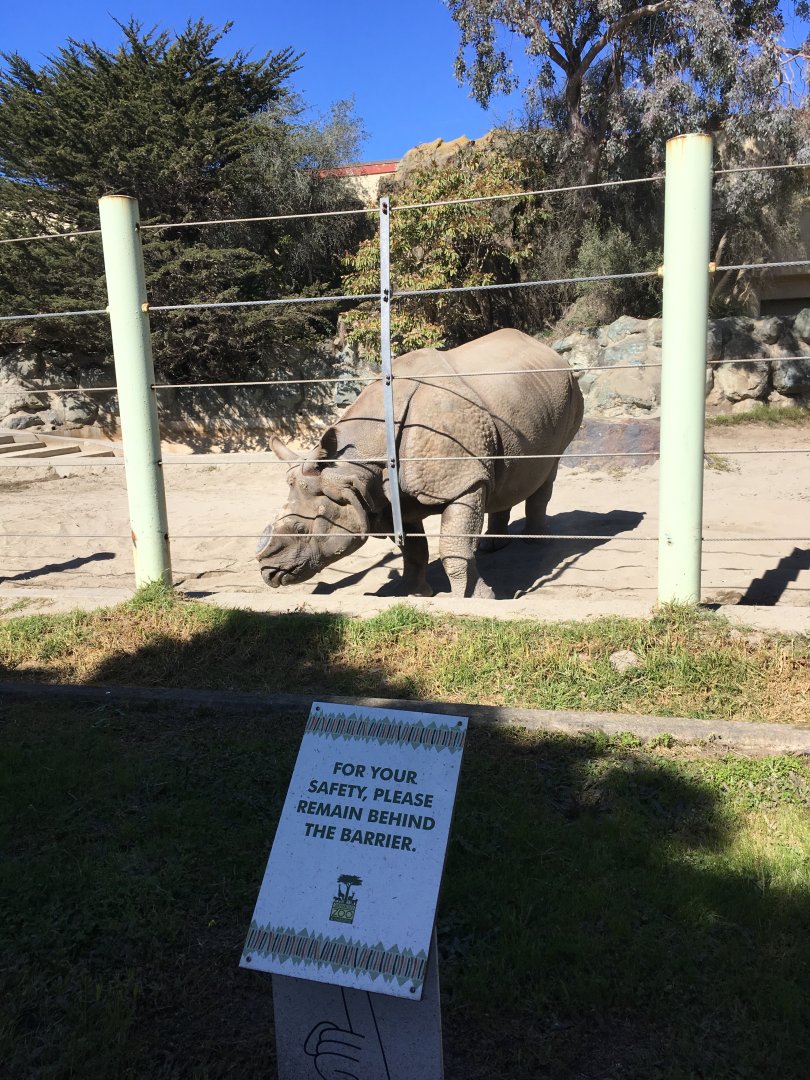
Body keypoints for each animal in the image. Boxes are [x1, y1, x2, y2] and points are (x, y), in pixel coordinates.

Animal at [256, 328, 584, 598]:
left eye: (301, 529)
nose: (268, 573)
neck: (357, 465)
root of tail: (549, 351)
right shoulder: (389, 496)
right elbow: (414, 551)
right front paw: (411, 593)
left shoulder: (462, 482)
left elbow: (454, 549)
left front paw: (477, 600)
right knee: (503, 474)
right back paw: (492, 546)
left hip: (570, 392)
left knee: (549, 468)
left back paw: (538, 543)